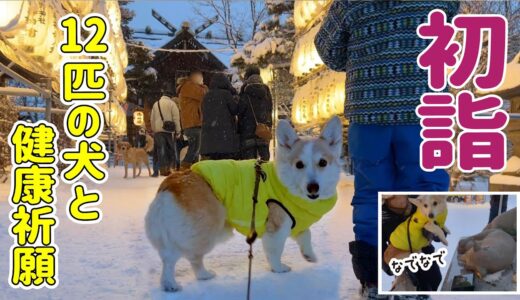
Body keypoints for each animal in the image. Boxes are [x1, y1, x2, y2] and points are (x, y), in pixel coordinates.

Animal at [144, 116, 344, 290]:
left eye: (323, 163)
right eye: (299, 165)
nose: (313, 187)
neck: (289, 186)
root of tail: (171, 183)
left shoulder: (295, 223)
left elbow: (306, 235)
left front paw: (310, 255)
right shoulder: (277, 228)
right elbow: (275, 251)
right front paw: (278, 269)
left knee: (192, 257)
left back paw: (202, 276)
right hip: (205, 229)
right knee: (175, 258)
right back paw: (171, 283)